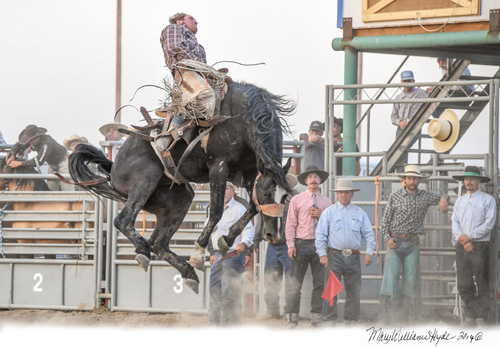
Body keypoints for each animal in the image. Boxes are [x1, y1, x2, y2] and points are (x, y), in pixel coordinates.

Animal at [67, 82, 292, 294]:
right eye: (267, 193)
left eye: (286, 197)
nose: (274, 237)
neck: (242, 117)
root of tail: (113, 165)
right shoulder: (218, 166)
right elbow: (217, 211)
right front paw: (200, 253)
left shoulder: (250, 170)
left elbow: (252, 207)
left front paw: (226, 240)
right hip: (145, 181)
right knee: (123, 221)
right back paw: (144, 251)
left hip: (180, 199)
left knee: (159, 242)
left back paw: (187, 273)